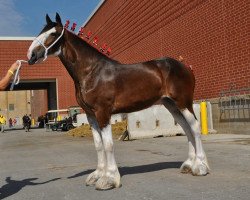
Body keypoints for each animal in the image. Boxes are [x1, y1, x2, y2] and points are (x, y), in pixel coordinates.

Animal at [26, 13, 210, 191]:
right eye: (41, 31)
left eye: (53, 33)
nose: (31, 55)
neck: (92, 72)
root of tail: (186, 66)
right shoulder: (91, 115)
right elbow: (98, 145)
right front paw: (97, 175)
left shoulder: (103, 112)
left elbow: (108, 145)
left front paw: (109, 179)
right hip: (172, 105)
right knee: (186, 129)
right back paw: (189, 165)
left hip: (183, 103)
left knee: (194, 127)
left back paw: (200, 167)